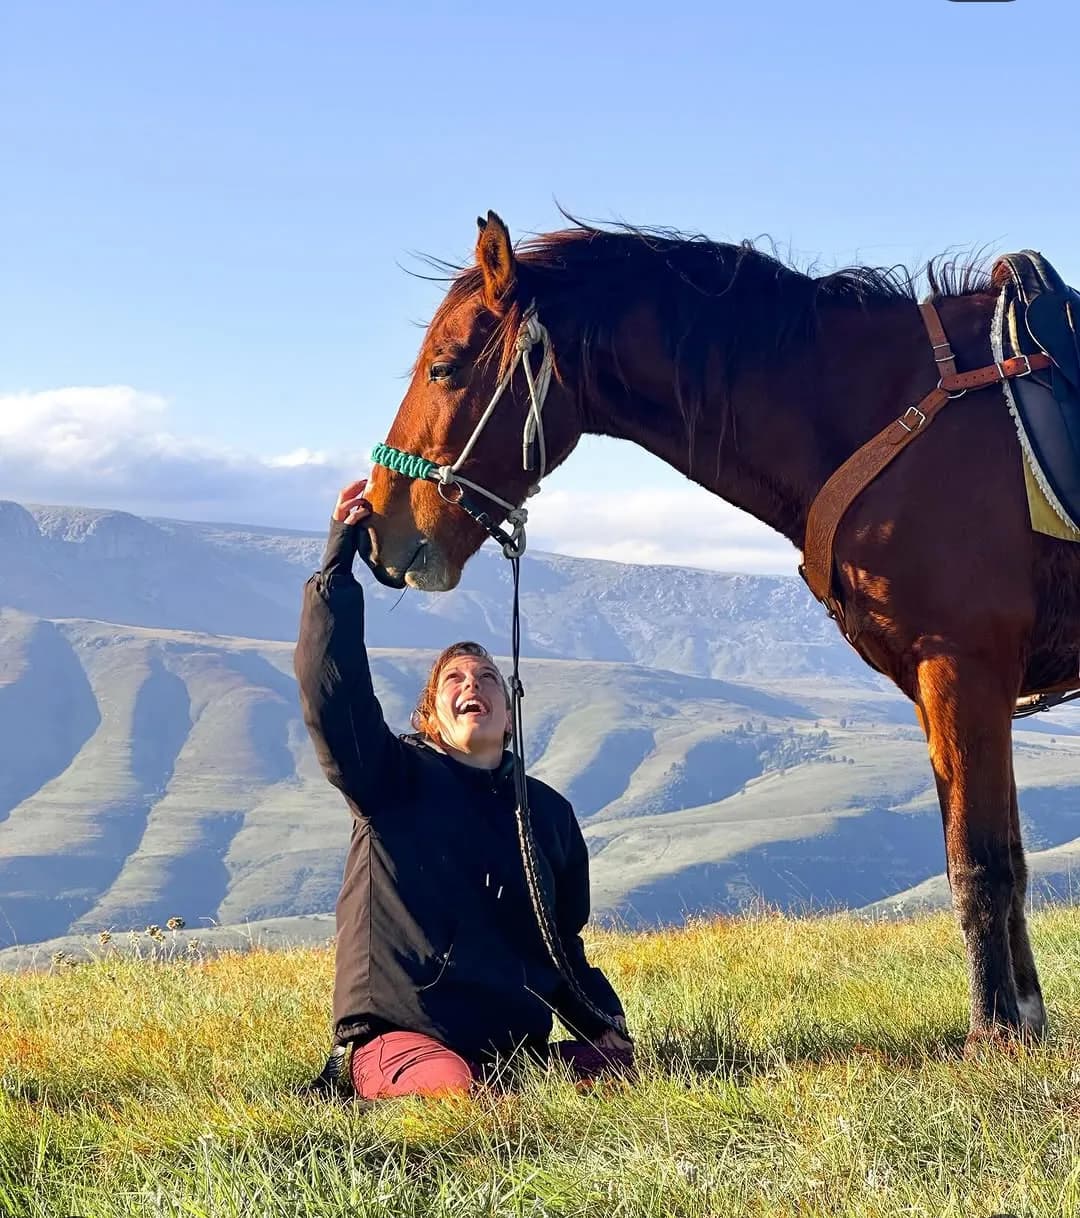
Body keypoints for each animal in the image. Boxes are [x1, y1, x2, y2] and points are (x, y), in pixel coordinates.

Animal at [360, 209, 1080, 1049]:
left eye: (444, 368)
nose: (378, 526)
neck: (881, 413)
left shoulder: (962, 668)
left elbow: (979, 865)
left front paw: (994, 1032)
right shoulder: (958, 688)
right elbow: (1009, 858)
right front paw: (1023, 1018)